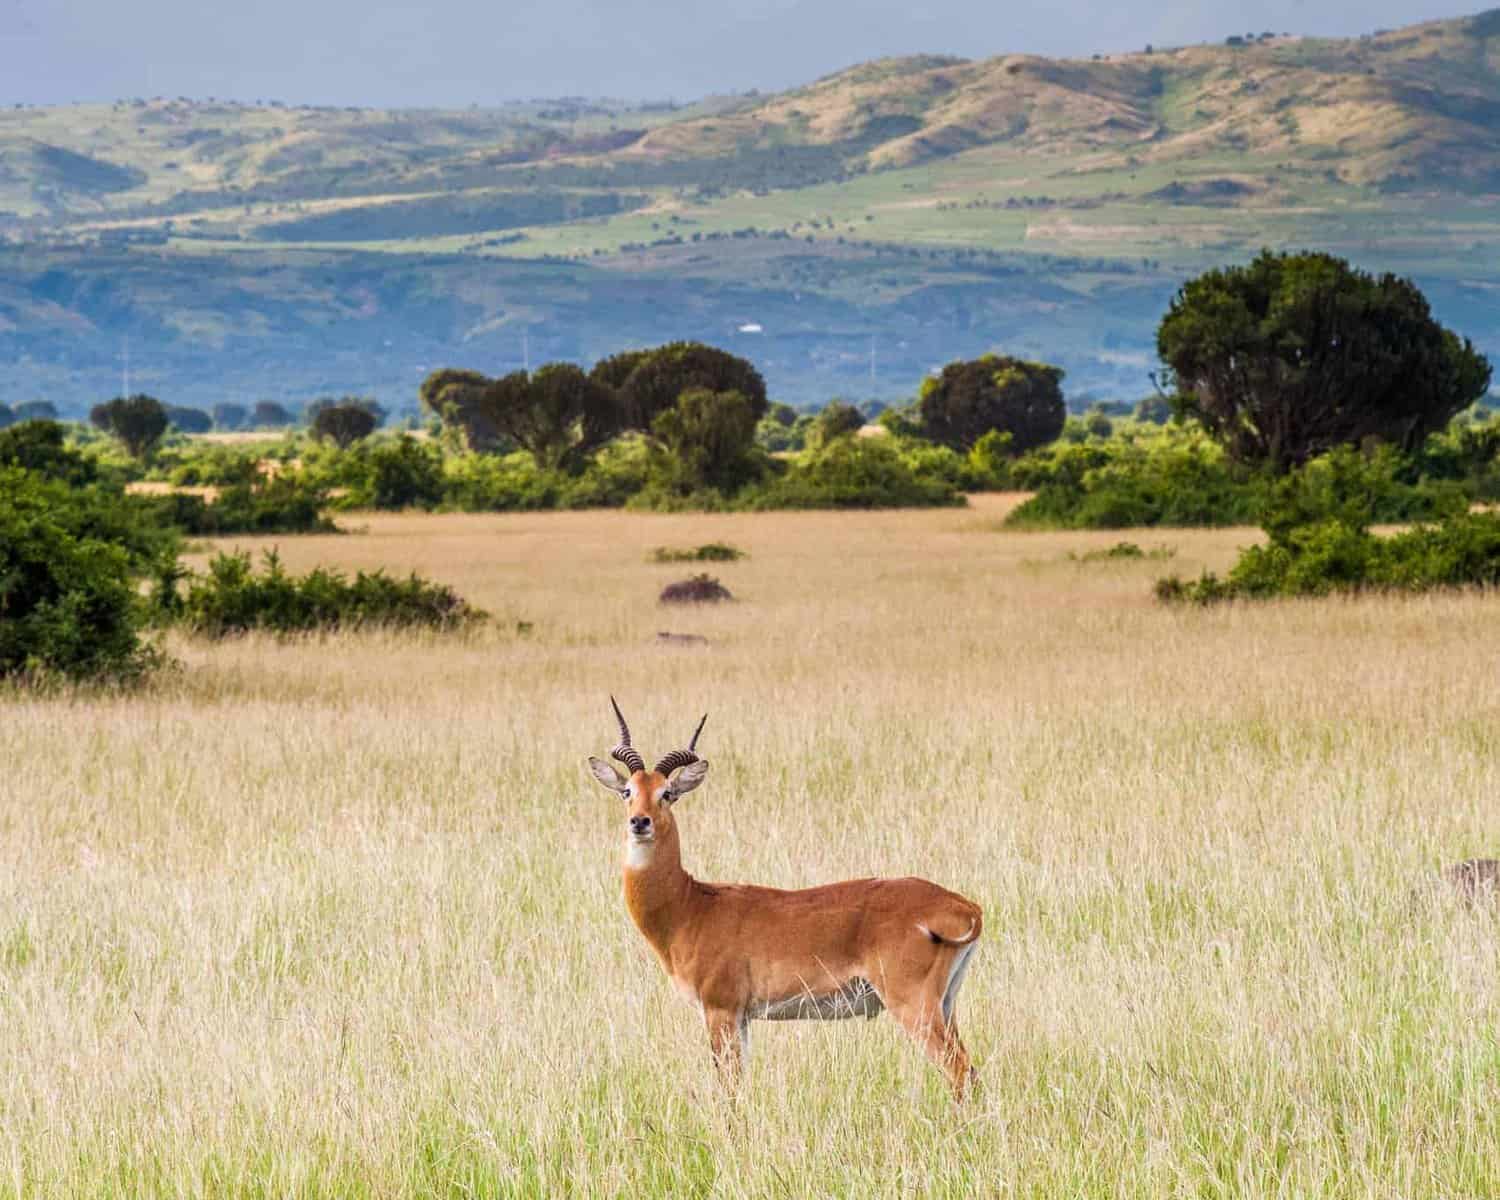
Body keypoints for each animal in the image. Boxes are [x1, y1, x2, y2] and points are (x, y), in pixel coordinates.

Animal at [585, 699, 984, 1104]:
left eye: (667, 793)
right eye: (627, 791)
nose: (640, 822)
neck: (690, 906)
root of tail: (964, 907)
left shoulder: (720, 1010)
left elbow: (728, 1089)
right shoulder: (742, 1017)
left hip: (912, 1004)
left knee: (958, 1069)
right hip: (946, 1004)